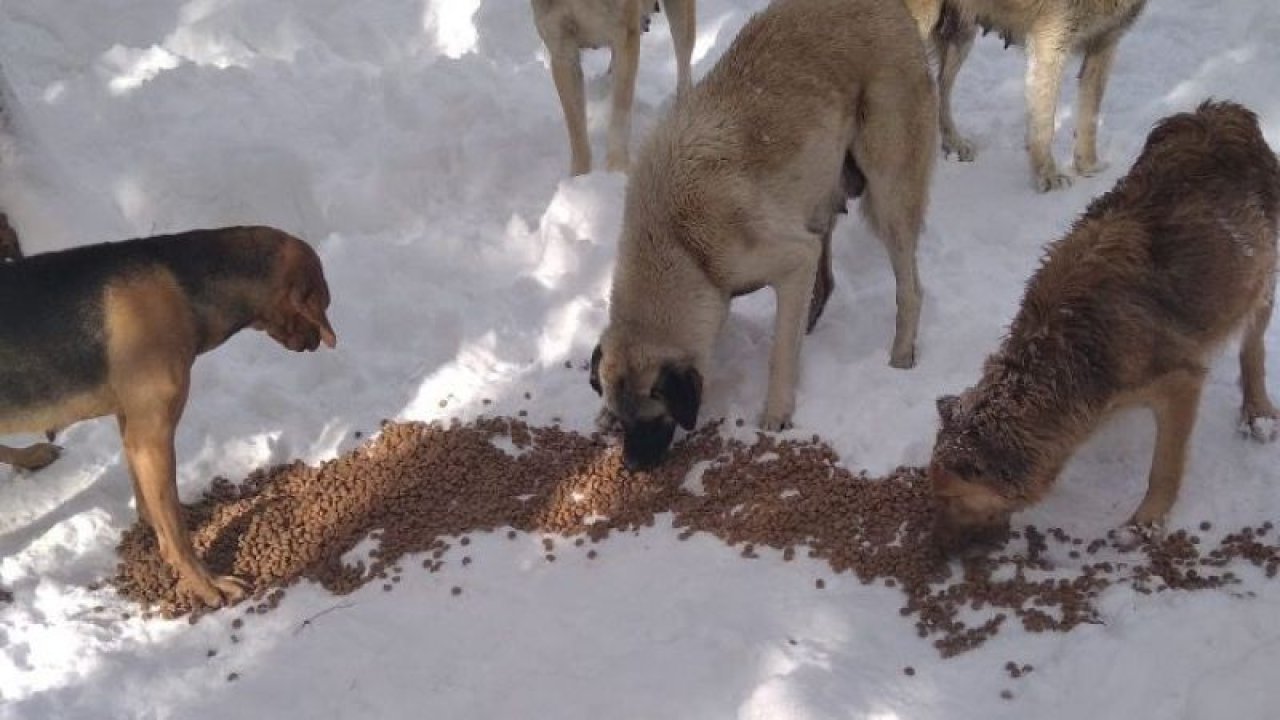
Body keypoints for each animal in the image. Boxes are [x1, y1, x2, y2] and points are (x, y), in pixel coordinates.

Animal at [0, 224, 337, 604]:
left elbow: (155, 506)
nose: (317, 342)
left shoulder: (132, 426)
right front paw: (206, 584)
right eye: (324, 303)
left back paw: (31, 456)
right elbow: (175, 534)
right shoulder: (152, 436)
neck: (181, 282)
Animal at [532, 0, 696, 175]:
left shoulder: (624, 34)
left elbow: (620, 112)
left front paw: (617, 168)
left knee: (684, 63)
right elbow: (576, 128)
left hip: (679, 15)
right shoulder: (561, 48)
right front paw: (579, 175)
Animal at [586, 0, 931, 471]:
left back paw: (899, 356)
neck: (676, 243)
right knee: (826, 284)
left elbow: (779, 355)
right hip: (820, 200)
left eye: (654, 417)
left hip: (888, 196)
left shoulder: (792, 257)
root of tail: (893, 8)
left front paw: (776, 413)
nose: (632, 466)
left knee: (909, 288)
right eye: (624, 422)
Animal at [901, 0, 1152, 192]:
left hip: (960, 33)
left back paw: (953, 144)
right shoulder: (1050, 43)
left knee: (940, 90)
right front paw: (1048, 177)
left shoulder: (1105, 42)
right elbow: (1044, 125)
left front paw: (1089, 167)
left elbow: (1089, 116)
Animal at [931, 101, 1280, 548]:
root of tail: (1221, 111)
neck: (1060, 347)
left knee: (1253, 347)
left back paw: (1257, 412)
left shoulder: (1181, 382)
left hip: (1259, 278)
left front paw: (1146, 522)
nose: (934, 549)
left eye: (952, 500)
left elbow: (1164, 465)